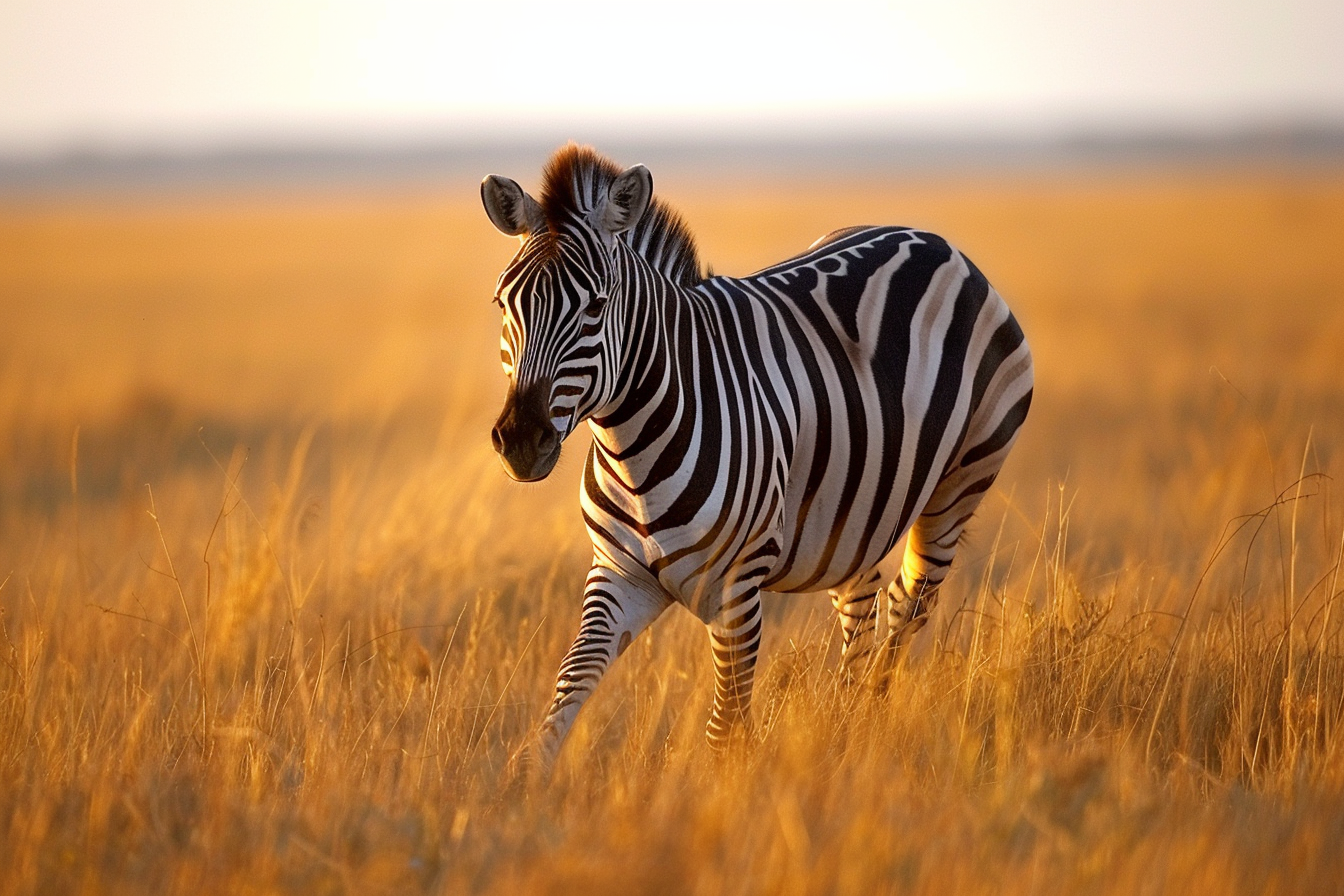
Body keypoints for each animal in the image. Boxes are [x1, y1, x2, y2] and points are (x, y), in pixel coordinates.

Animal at [482, 144, 1033, 777]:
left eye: (596, 307)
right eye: (502, 302)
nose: (520, 440)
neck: (632, 440)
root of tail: (935, 241)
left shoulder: (738, 588)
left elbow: (726, 730)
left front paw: (722, 794)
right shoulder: (619, 573)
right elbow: (563, 700)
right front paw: (526, 789)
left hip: (963, 482)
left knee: (907, 605)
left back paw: (866, 729)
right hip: (850, 516)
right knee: (862, 604)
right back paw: (841, 729)